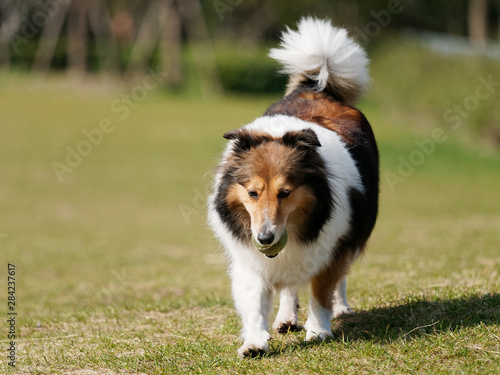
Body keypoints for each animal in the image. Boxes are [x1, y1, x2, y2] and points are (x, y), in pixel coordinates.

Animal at [208, 17, 378, 358]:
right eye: (252, 193)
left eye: (285, 193)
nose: (265, 238)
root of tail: (316, 87)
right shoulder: (251, 259)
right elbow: (255, 300)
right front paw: (254, 341)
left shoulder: (331, 246)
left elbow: (322, 290)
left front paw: (319, 330)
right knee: (288, 287)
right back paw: (286, 318)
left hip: (353, 233)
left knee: (338, 279)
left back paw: (340, 308)